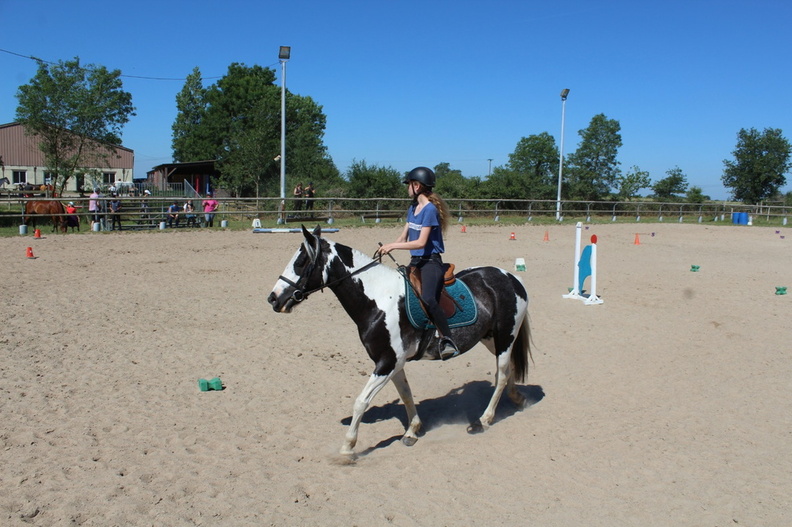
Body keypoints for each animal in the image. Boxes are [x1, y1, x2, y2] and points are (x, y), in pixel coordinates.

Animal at [266, 227, 532, 458]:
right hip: (491, 339)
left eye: (301, 262)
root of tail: (511, 277)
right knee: (509, 370)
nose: (273, 298)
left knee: (501, 373)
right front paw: (412, 430)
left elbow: (361, 402)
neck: (378, 299)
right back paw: (518, 399)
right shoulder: (394, 362)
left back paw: (485, 419)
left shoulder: (387, 362)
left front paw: (347, 448)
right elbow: (405, 394)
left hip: (505, 337)